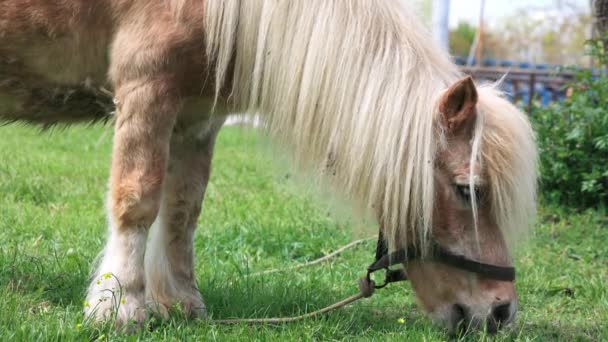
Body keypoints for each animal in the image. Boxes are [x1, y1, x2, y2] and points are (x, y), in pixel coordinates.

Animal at [0, 0, 536, 332]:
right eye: (468, 190)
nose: (500, 312)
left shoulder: (196, 117)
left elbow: (182, 214)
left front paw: (182, 304)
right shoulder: (148, 89)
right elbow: (138, 201)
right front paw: (120, 307)